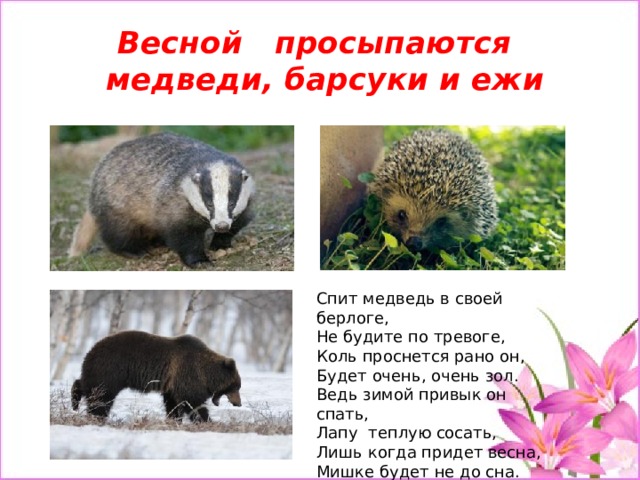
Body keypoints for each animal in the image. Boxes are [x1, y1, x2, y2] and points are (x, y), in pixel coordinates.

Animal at [71, 330, 242, 422]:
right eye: (236, 386)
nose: (238, 403)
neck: (207, 373)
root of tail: (92, 349)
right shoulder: (188, 373)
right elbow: (193, 402)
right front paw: (206, 420)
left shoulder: (173, 384)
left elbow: (173, 403)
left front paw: (174, 419)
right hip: (111, 369)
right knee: (101, 395)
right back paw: (96, 414)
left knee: (87, 385)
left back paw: (76, 402)